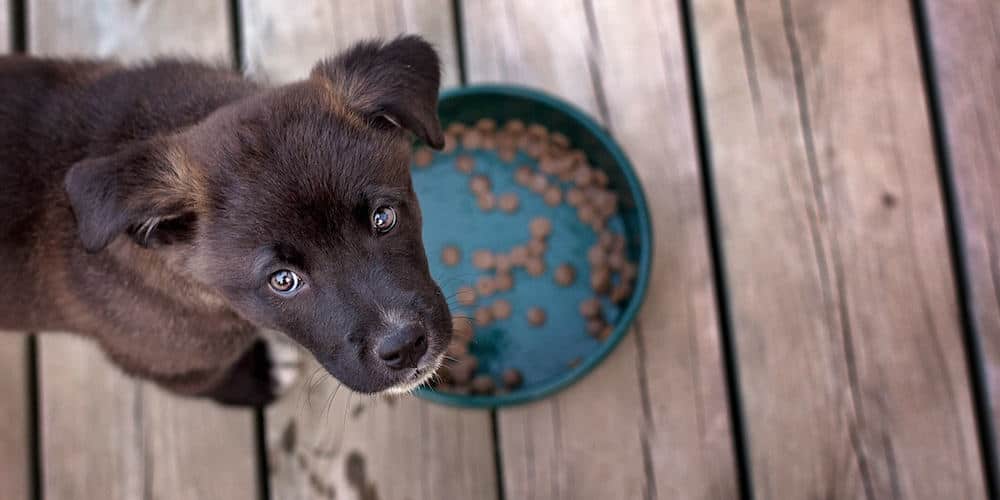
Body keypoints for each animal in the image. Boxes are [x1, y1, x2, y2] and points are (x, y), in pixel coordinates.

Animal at [0, 36, 454, 406]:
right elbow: (212, 384)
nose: (405, 346)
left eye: (383, 217)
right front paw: (262, 378)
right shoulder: (166, 364)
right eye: (282, 280)